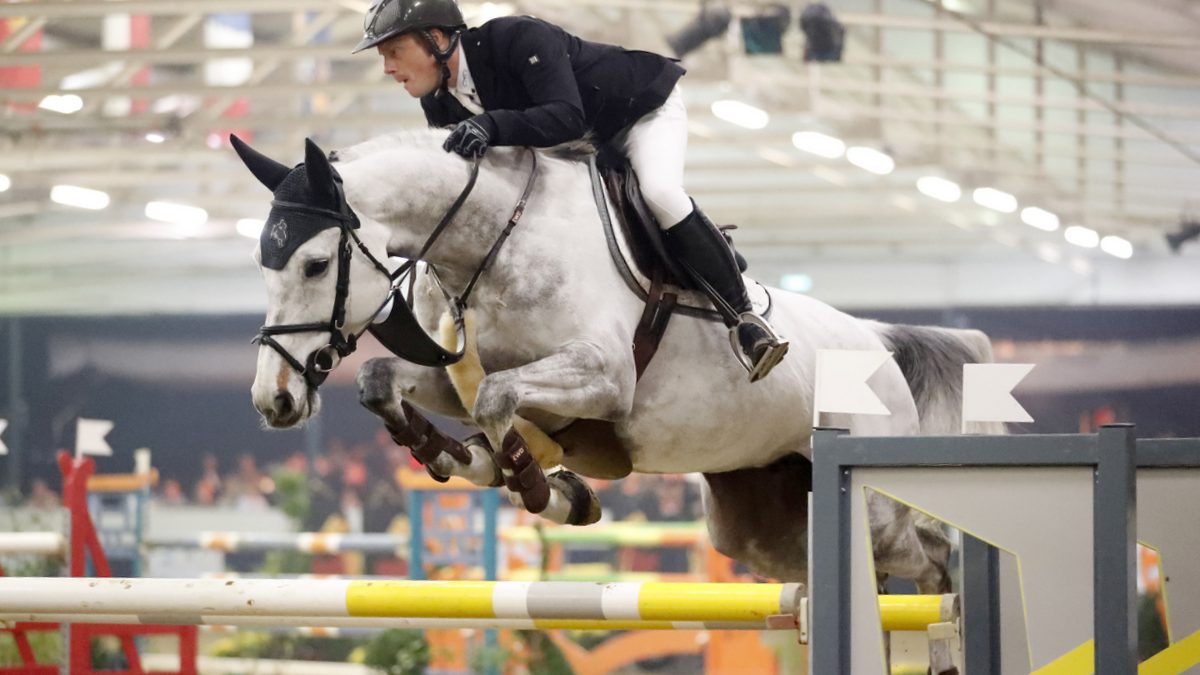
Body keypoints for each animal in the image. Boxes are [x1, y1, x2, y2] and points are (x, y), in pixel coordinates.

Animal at [236, 128, 1003, 586]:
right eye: (263, 266)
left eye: (312, 264)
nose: (275, 399)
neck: (494, 238)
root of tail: (878, 340)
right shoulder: (450, 375)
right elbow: (385, 381)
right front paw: (465, 459)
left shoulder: (604, 377)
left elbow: (497, 400)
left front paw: (537, 484)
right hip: (761, 525)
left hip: (871, 504)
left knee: (931, 554)